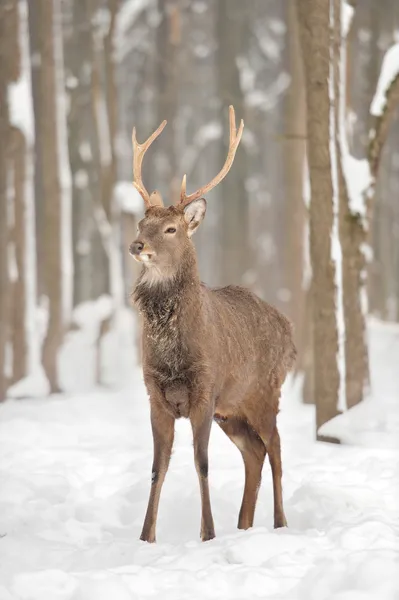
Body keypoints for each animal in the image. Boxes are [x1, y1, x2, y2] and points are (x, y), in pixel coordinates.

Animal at [130, 105, 296, 540]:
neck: (173, 351)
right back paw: (243, 524)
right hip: (232, 410)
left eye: (171, 228)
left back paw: (279, 523)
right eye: (140, 224)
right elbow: (157, 467)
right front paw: (146, 536)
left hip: (265, 392)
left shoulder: (205, 388)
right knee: (254, 452)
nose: (137, 245)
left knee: (276, 449)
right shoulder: (155, 394)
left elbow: (201, 462)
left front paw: (207, 533)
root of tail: (290, 332)